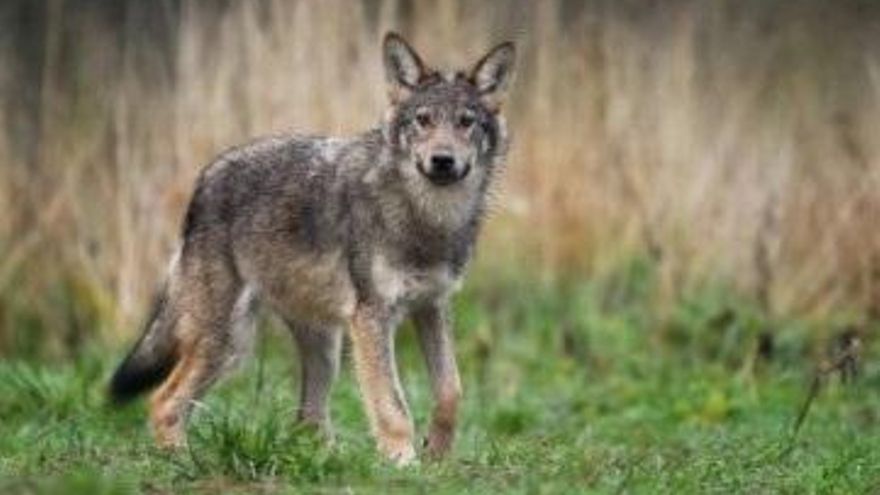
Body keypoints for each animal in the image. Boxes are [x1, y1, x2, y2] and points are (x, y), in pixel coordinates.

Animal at [109, 32, 515, 465]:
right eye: (423, 120)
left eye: (466, 122)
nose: (442, 160)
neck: (427, 218)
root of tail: (206, 177)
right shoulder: (372, 318)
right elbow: (392, 405)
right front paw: (404, 462)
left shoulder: (432, 307)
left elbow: (452, 391)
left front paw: (436, 454)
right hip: (229, 343)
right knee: (164, 401)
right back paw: (184, 461)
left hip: (324, 348)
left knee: (308, 420)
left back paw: (328, 462)